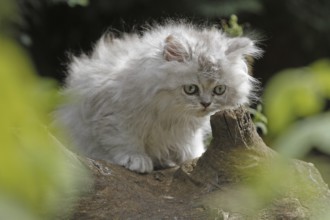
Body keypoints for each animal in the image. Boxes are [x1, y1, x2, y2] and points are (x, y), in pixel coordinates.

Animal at [55, 22, 262, 174]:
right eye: (191, 89)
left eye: (219, 90)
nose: (205, 104)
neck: (169, 113)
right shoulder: (113, 114)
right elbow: (124, 139)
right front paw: (136, 159)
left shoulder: (188, 132)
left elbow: (191, 147)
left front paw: (193, 157)